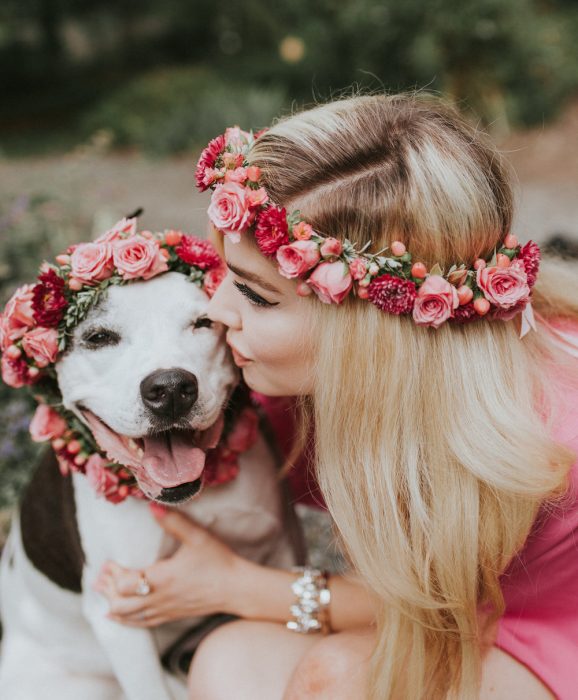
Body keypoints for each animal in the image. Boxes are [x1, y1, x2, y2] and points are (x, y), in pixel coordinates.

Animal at [0, 272, 296, 700]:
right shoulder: (120, 616)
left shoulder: (282, 555)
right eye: (99, 337)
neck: (195, 498)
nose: (170, 388)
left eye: (204, 322)